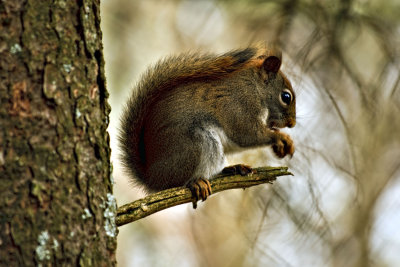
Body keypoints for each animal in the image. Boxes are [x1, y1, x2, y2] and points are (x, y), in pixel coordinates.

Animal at [117, 43, 296, 208]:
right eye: (286, 97)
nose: (292, 124)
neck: (256, 88)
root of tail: (152, 176)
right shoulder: (240, 105)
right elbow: (246, 134)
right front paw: (280, 137)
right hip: (194, 144)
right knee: (175, 183)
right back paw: (195, 183)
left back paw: (234, 168)